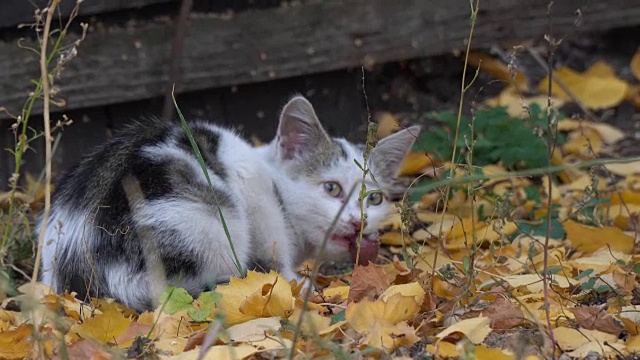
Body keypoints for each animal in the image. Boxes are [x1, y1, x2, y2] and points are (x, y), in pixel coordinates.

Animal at [40, 96, 420, 312]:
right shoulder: (253, 187)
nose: (359, 221)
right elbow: (275, 256)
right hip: (208, 218)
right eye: (331, 188)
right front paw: (296, 285)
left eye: (374, 198)